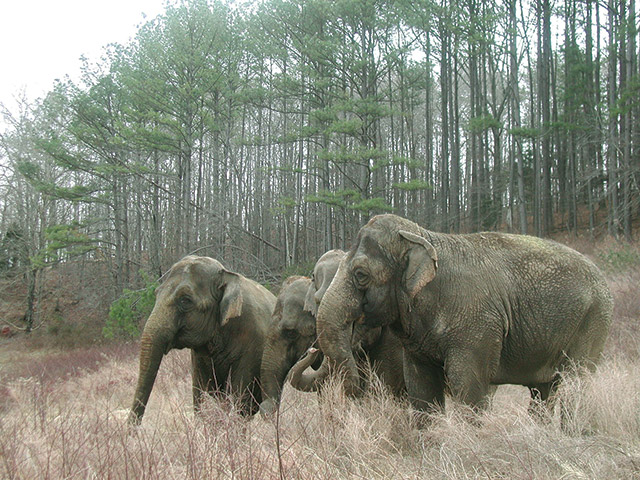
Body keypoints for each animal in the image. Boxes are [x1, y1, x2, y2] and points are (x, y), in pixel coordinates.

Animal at [127, 255, 276, 424]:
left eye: (185, 300)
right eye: (157, 293)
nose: (132, 428)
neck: (226, 275)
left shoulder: (253, 345)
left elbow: (241, 398)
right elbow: (200, 392)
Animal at [318, 214, 612, 416]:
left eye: (360, 274)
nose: (355, 387)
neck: (426, 237)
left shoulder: (477, 328)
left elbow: (469, 387)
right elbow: (421, 388)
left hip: (594, 322)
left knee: (575, 385)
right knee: (544, 391)